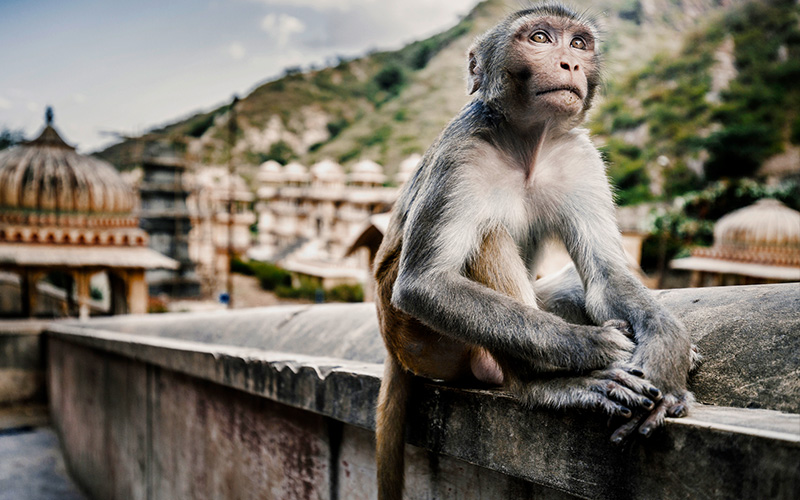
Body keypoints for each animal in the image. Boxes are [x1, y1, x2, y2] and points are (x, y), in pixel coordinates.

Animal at [376, 4, 692, 500]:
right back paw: (547, 385)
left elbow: (607, 276)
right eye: (540, 38)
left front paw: (665, 356)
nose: (570, 63)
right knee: (486, 236)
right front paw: (591, 346)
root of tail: (393, 351)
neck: (526, 141)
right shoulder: (461, 154)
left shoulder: (581, 158)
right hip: (416, 339)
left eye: (579, 43)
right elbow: (424, 284)